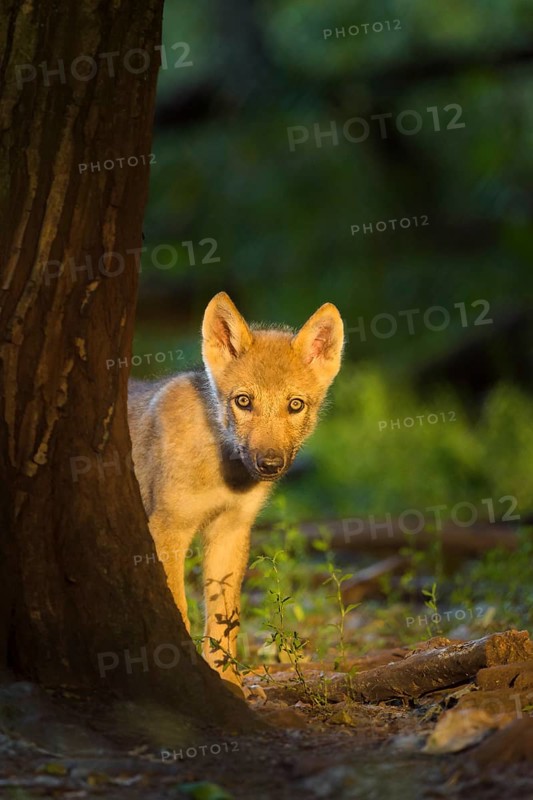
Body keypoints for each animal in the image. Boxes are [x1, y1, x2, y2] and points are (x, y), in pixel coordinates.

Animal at [128, 292, 344, 687]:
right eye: (244, 401)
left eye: (295, 405)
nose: (270, 464)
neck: (220, 468)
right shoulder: (167, 531)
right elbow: (180, 610)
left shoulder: (230, 530)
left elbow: (225, 622)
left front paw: (229, 685)